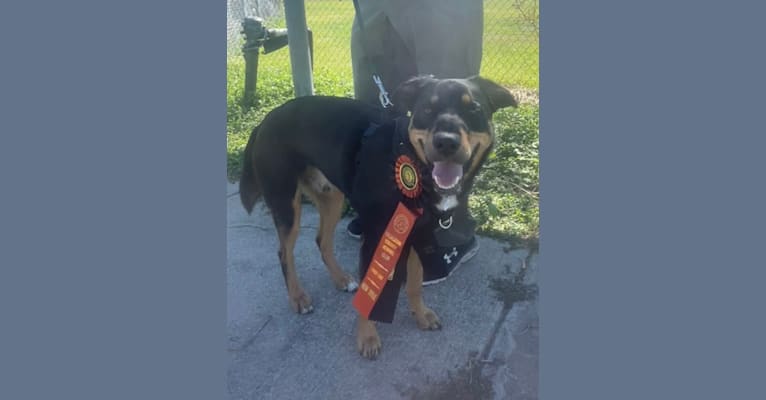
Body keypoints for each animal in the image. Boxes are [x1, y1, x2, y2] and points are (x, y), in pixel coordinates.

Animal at [238, 75, 516, 360]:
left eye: (473, 109)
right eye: (427, 109)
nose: (446, 142)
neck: (409, 160)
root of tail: (264, 121)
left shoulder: (417, 233)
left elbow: (414, 284)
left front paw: (421, 315)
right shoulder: (375, 238)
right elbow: (369, 292)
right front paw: (368, 338)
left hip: (332, 198)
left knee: (321, 241)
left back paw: (341, 279)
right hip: (286, 205)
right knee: (285, 253)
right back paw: (298, 297)